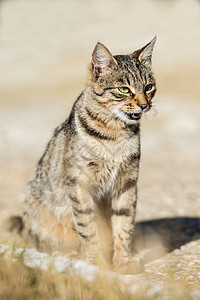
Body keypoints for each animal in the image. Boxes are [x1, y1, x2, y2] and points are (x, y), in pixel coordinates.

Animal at [19, 37, 156, 274]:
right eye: (124, 89)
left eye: (148, 87)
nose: (144, 105)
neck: (115, 135)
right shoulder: (79, 184)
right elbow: (88, 228)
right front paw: (96, 263)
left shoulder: (127, 183)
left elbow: (124, 225)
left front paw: (122, 261)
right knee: (40, 243)